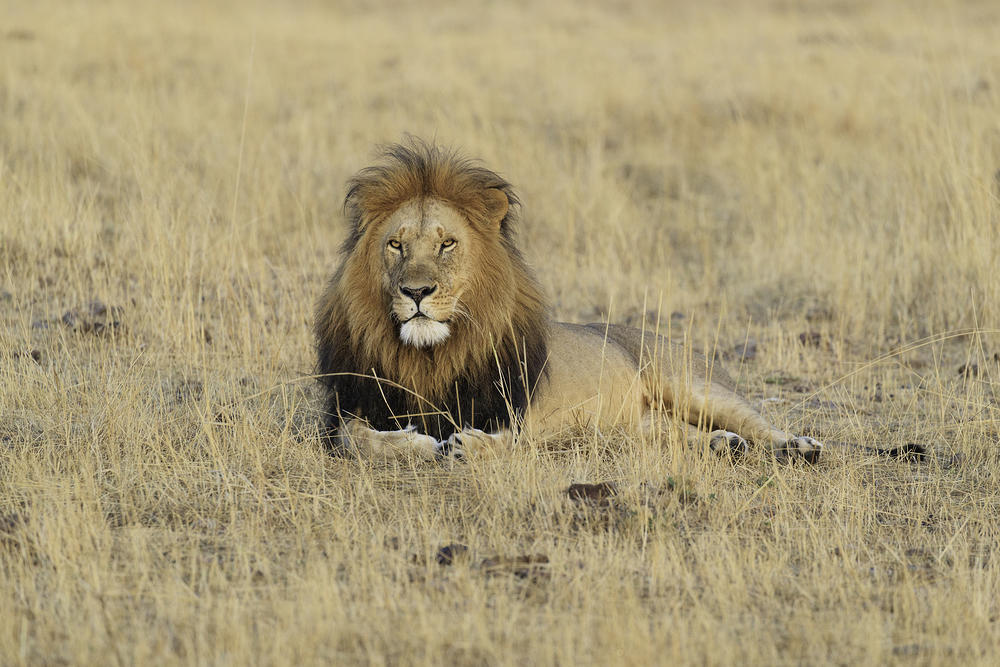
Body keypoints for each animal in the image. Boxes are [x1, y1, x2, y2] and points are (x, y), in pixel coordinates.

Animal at [314, 140, 823, 463]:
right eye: (395, 245)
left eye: (447, 244)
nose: (416, 292)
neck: (429, 356)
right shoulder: (348, 408)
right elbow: (354, 441)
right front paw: (417, 443)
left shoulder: (522, 411)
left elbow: (506, 438)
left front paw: (467, 445)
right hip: (635, 429)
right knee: (679, 436)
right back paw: (722, 445)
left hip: (691, 384)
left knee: (758, 423)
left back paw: (798, 447)